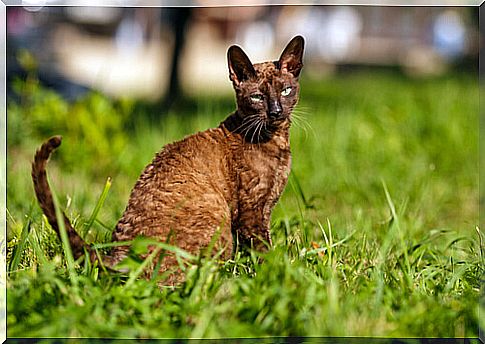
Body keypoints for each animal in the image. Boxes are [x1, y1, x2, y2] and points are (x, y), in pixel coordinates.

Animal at [31, 36, 302, 286]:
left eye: (286, 91)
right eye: (257, 97)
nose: (276, 111)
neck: (278, 142)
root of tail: (121, 256)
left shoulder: (264, 208)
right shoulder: (252, 213)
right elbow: (265, 252)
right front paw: (281, 275)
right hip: (218, 216)